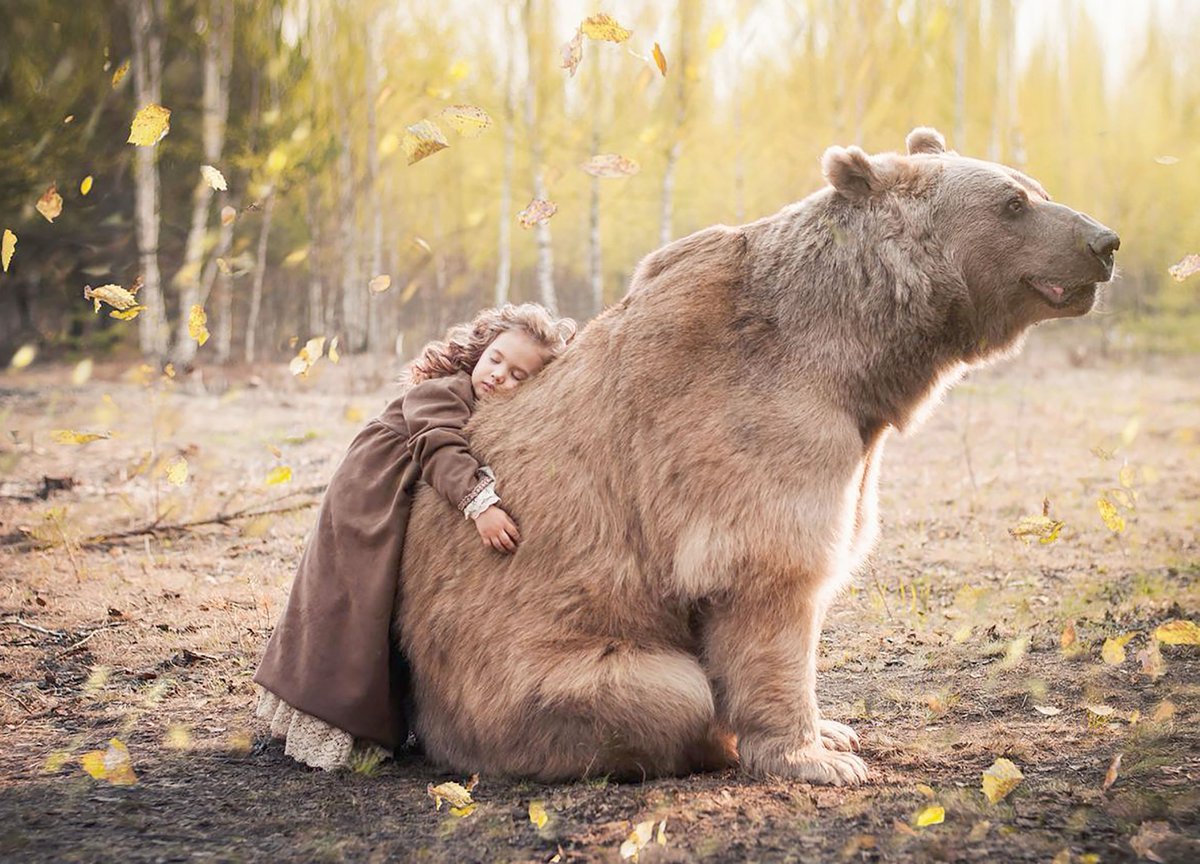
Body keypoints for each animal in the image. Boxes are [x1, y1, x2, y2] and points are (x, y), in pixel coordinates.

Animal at [395, 127, 1119, 785]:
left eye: (1037, 188)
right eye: (1012, 203)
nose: (1103, 242)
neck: (852, 356)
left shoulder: (854, 445)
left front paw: (835, 730)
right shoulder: (745, 430)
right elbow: (773, 578)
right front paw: (819, 759)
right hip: (520, 667)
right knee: (666, 693)